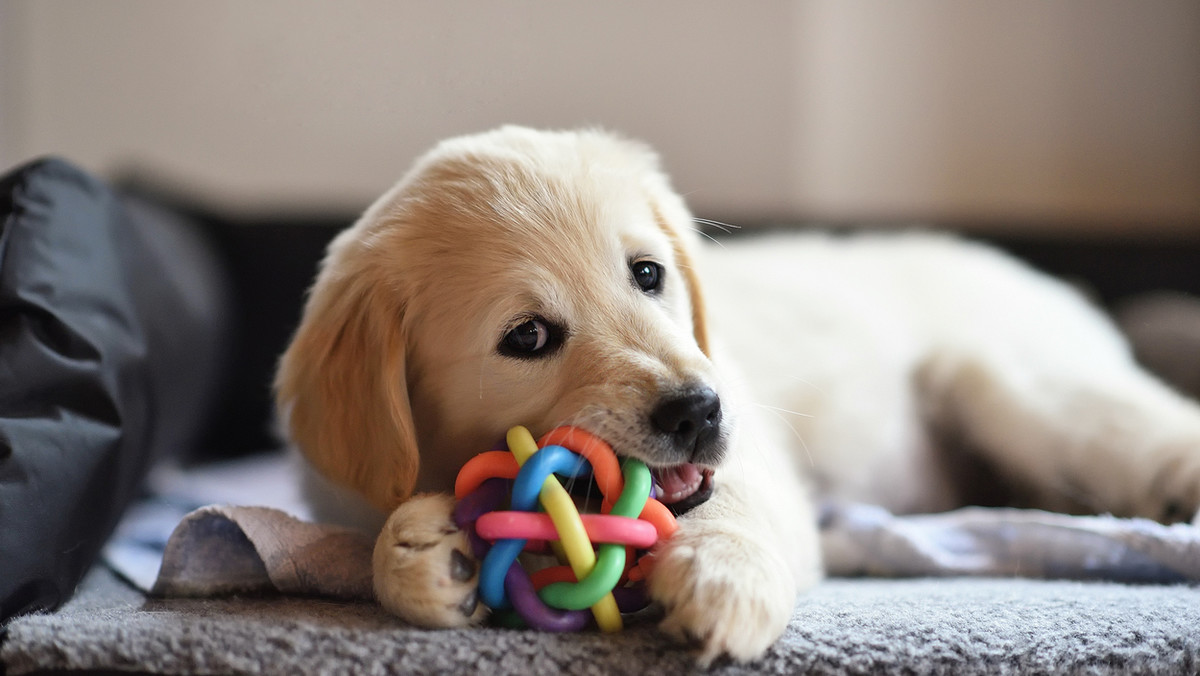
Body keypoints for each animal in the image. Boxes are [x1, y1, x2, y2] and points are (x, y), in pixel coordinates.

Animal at [274, 124, 1200, 662]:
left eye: (648, 274)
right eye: (527, 337)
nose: (697, 411)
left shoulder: (755, 452)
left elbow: (732, 505)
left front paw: (724, 579)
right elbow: (374, 537)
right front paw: (423, 552)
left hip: (1015, 388)